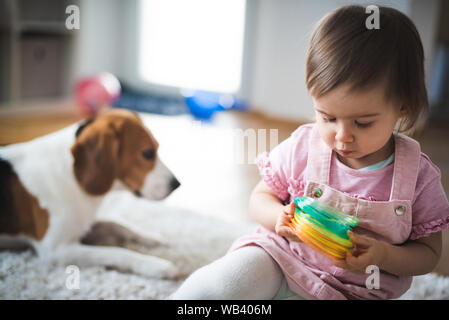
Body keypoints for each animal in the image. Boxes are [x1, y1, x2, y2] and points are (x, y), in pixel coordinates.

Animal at [1, 109, 181, 278]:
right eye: (148, 153)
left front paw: (152, 237)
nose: (176, 184)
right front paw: (156, 265)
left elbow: (118, 224)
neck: (71, 174)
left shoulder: (84, 222)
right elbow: (116, 251)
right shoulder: (56, 250)